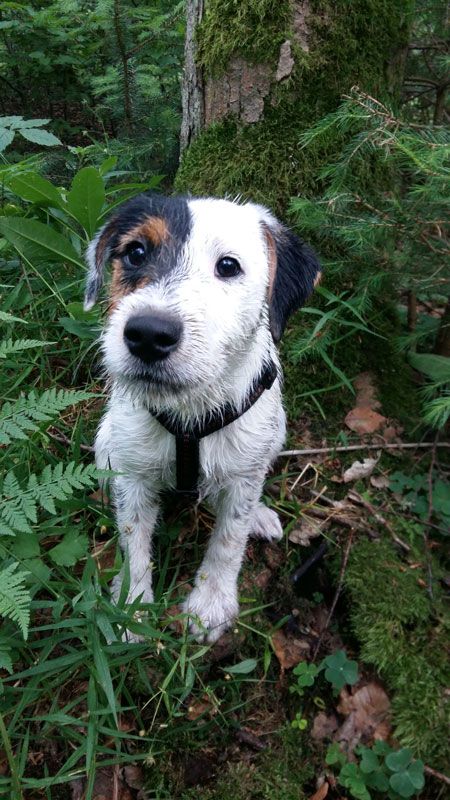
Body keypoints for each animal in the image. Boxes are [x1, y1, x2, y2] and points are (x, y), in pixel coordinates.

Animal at [85, 194, 320, 644]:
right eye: (135, 252)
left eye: (228, 266)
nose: (148, 334)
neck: (190, 413)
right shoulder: (134, 475)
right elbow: (133, 542)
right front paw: (131, 607)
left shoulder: (244, 473)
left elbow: (229, 539)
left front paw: (211, 604)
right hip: (107, 440)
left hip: (274, 434)